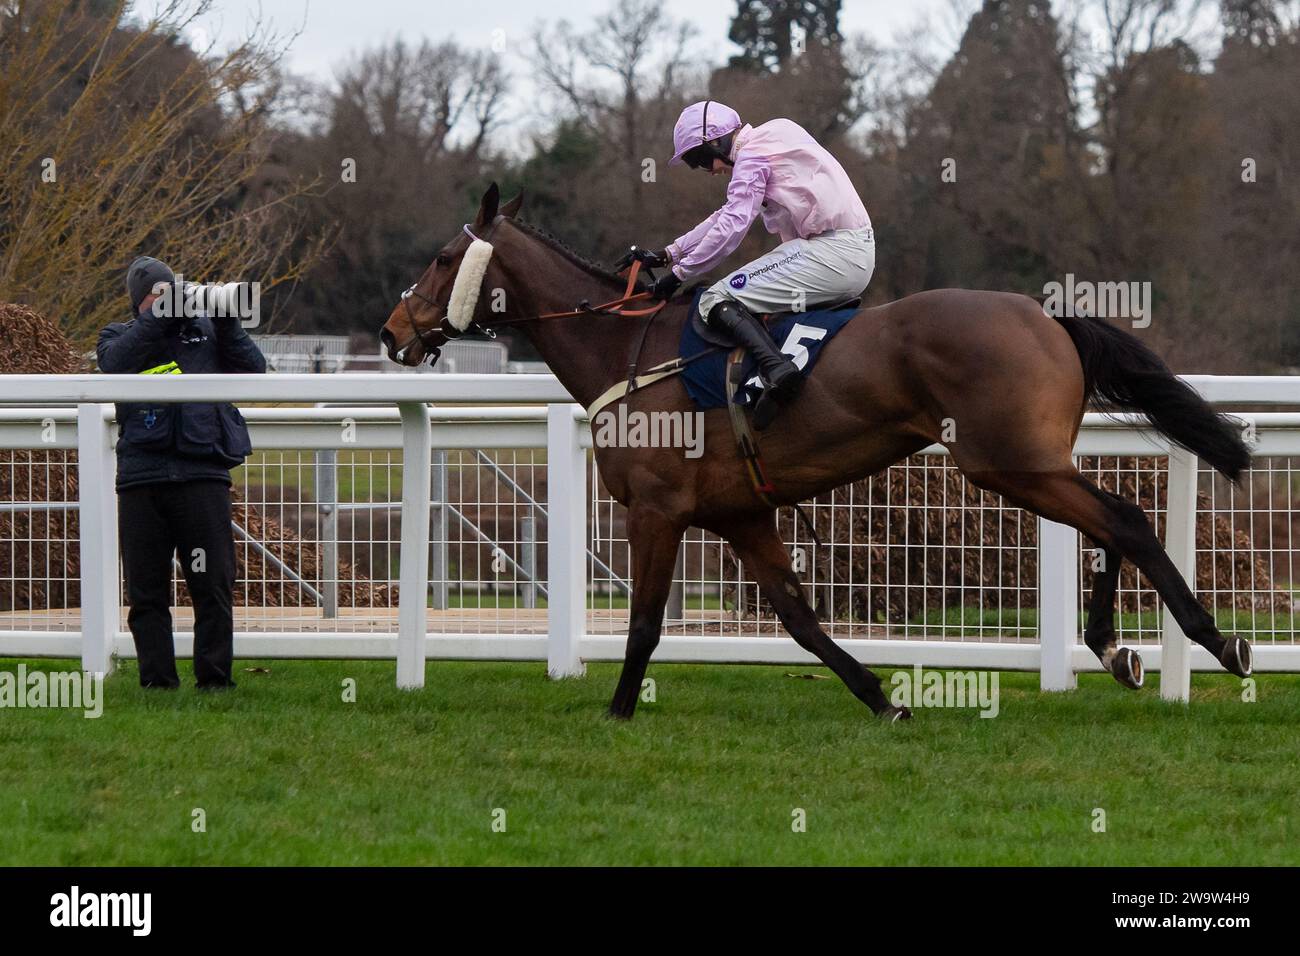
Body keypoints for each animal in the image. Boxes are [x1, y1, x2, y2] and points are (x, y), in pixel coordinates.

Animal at [379, 183, 1253, 723]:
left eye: (440, 259)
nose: (392, 333)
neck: (626, 351)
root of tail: (1049, 318)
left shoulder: (658, 512)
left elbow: (645, 623)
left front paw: (619, 711)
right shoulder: (740, 516)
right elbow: (799, 618)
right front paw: (884, 700)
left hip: (1010, 463)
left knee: (1124, 520)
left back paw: (1216, 643)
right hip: (1030, 464)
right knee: (1113, 524)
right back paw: (1117, 650)